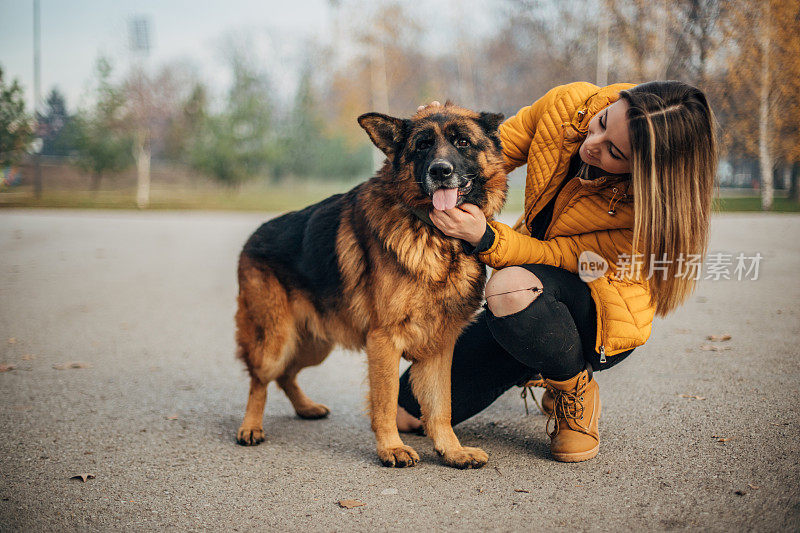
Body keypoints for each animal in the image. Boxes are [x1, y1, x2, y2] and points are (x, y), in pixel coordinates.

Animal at [234, 102, 506, 468]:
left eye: (462, 142)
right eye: (422, 146)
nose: (440, 171)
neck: (433, 234)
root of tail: (253, 237)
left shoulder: (438, 346)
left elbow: (440, 407)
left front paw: (452, 451)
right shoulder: (384, 341)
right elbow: (386, 401)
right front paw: (391, 448)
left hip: (314, 344)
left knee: (286, 375)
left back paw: (306, 408)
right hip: (276, 341)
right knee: (260, 380)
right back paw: (250, 426)